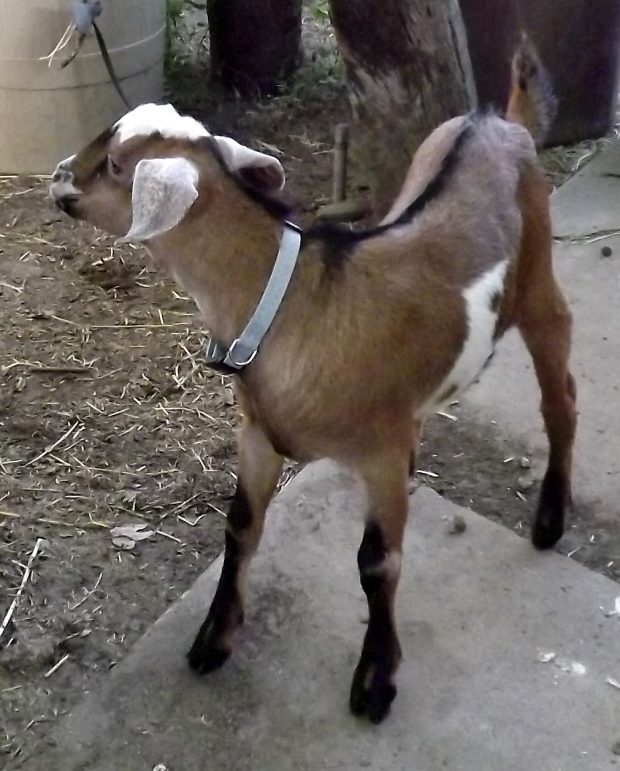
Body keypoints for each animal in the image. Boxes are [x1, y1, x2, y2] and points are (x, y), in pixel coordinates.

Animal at [49, 37, 576, 723]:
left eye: (114, 163)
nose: (58, 176)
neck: (298, 300)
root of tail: (502, 121)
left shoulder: (377, 451)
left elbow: (378, 564)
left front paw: (376, 682)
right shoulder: (258, 432)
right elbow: (241, 525)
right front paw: (213, 641)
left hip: (539, 283)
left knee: (560, 399)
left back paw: (549, 521)